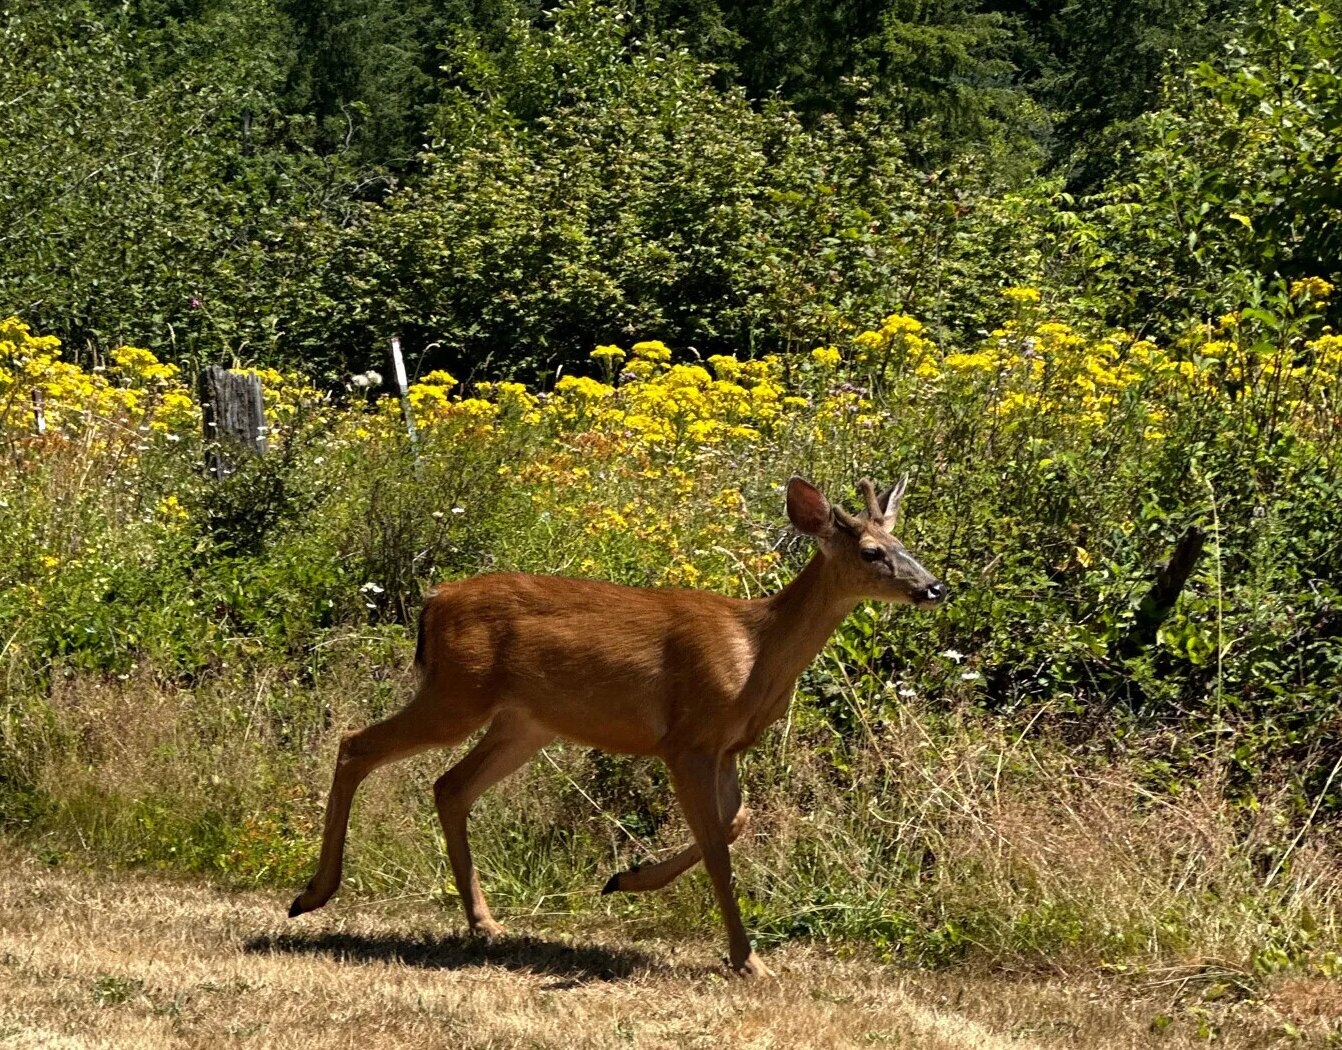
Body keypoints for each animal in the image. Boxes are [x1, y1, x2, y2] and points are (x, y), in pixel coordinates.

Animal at [288, 478, 950, 977]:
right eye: (871, 552)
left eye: (903, 541)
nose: (933, 587)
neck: (754, 650)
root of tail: (433, 600)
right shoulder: (687, 739)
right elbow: (718, 848)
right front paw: (747, 960)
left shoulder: (727, 746)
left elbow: (737, 822)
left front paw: (626, 879)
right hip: (458, 692)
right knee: (357, 745)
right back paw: (312, 894)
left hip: (525, 722)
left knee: (449, 785)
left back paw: (484, 922)